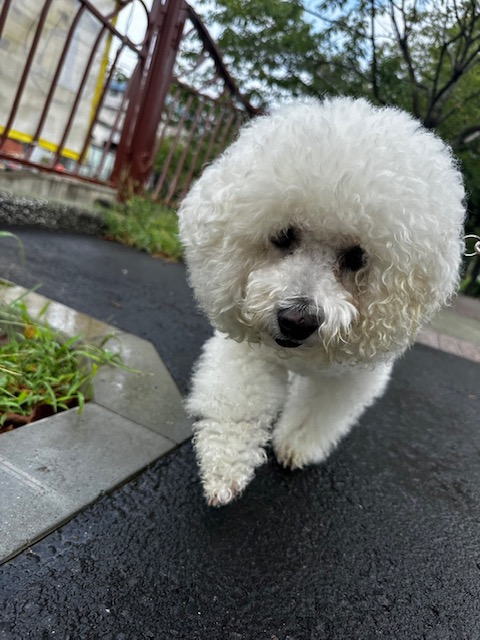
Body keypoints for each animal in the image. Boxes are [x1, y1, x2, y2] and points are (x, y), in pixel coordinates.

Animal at [177, 96, 464, 504]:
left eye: (357, 257)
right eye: (283, 235)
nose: (296, 320)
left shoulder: (350, 377)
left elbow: (318, 412)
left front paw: (295, 444)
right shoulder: (250, 345)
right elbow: (239, 401)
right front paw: (224, 465)